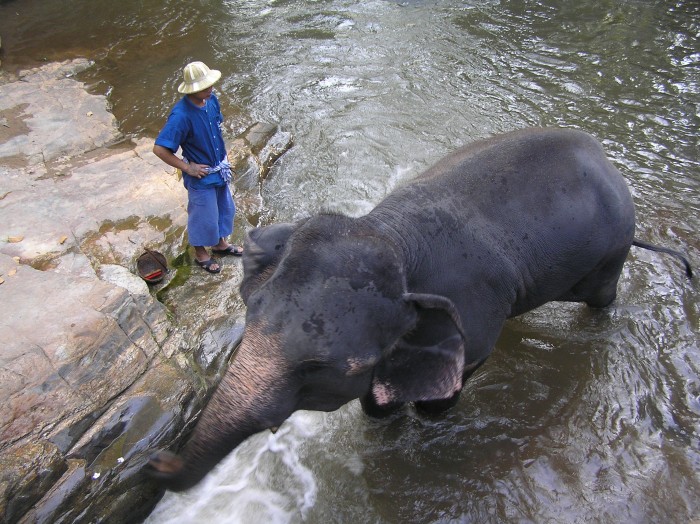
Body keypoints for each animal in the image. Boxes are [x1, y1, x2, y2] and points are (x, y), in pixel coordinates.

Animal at [147, 127, 692, 491]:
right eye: (249, 318)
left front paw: (426, 422)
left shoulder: (472, 318)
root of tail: (610, 163)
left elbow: (448, 384)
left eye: (318, 368)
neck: (392, 236)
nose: (157, 464)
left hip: (610, 251)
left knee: (601, 297)